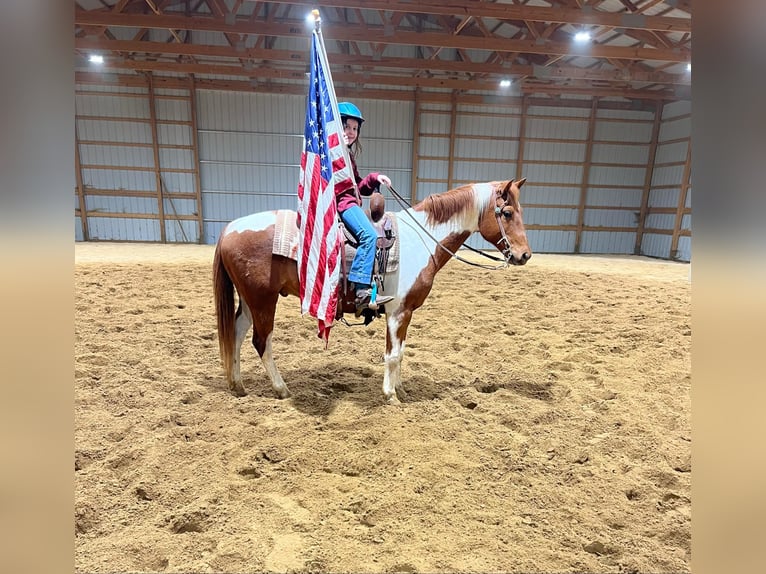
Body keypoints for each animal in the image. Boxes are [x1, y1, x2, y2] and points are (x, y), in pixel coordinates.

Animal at [213, 179, 532, 404]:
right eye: (506, 212)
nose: (524, 255)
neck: (420, 241)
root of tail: (229, 229)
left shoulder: (405, 313)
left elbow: (400, 352)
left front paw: (401, 390)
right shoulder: (398, 311)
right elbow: (392, 355)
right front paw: (390, 396)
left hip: (250, 301)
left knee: (236, 335)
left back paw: (238, 386)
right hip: (262, 300)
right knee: (261, 342)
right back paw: (281, 389)